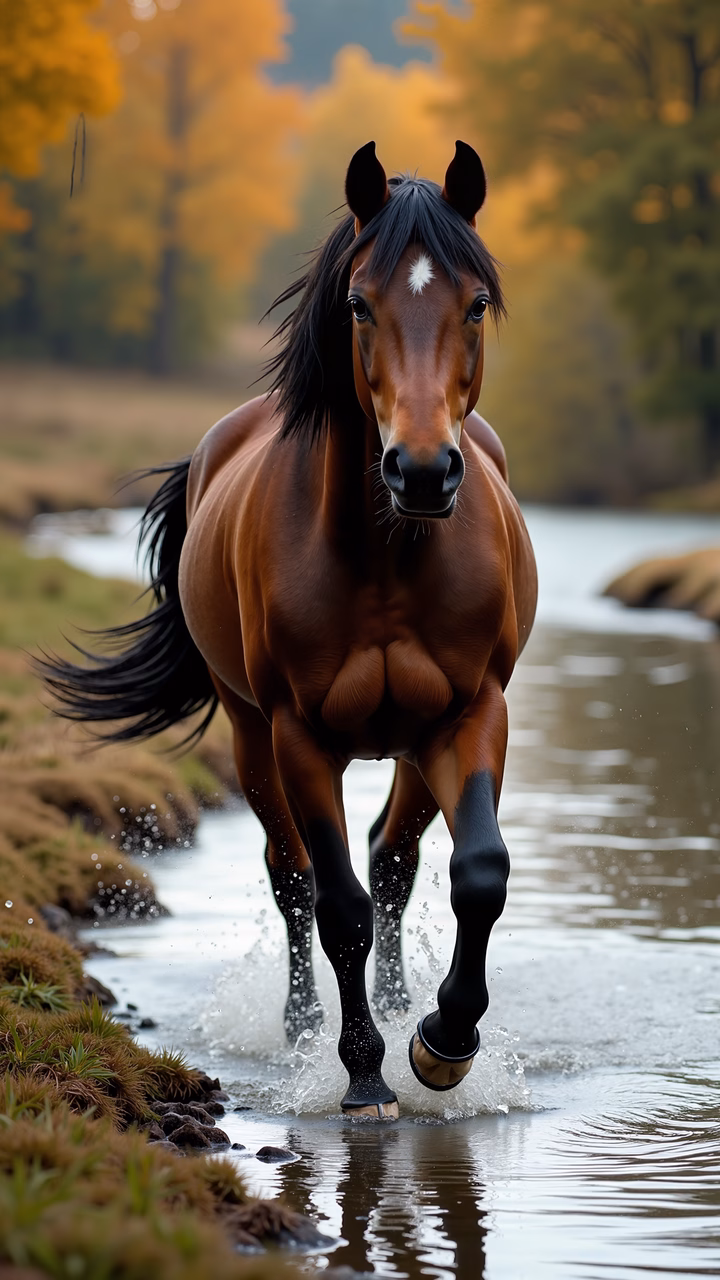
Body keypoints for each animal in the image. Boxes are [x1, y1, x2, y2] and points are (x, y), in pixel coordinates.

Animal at [40, 141, 538, 1119]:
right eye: (358, 303)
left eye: (475, 303)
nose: (423, 470)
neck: (386, 558)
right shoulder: (299, 734)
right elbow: (335, 904)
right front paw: (363, 1073)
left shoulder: (471, 715)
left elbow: (478, 874)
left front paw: (441, 1043)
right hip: (249, 733)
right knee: (297, 876)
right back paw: (307, 1028)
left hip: (413, 745)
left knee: (393, 861)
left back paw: (400, 1004)